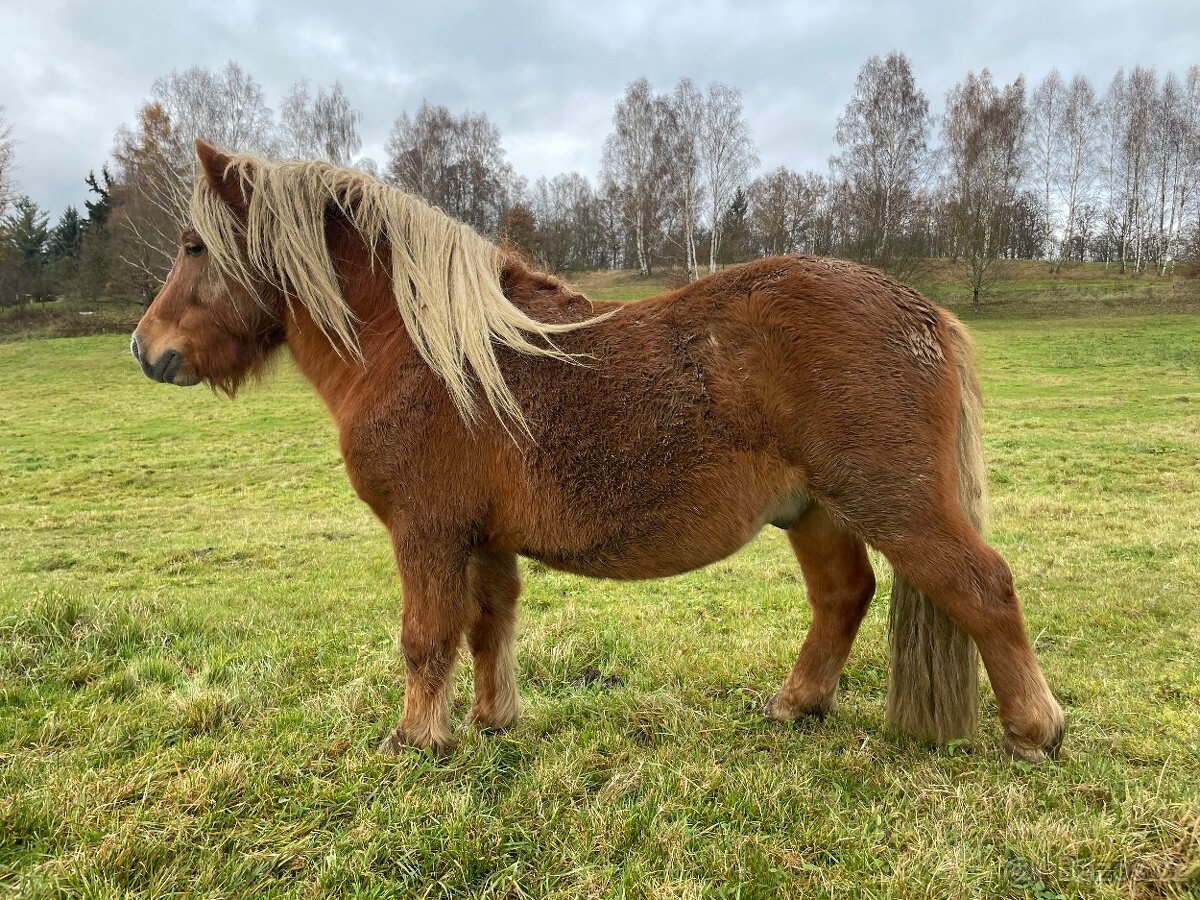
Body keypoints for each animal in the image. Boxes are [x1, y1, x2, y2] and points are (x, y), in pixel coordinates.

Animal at [131, 139, 1064, 762]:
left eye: (193, 246)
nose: (145, 348)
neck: (425, 350)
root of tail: (920, 310)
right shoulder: (483, 540)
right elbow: (490, 626)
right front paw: (491, 721)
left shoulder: (427, 533)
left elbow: (427, 635)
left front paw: (415, 738)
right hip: (816, 512)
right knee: (845, 597)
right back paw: (795, 704)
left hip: (896, 505)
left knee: (982, 588)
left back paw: (1036, 729)